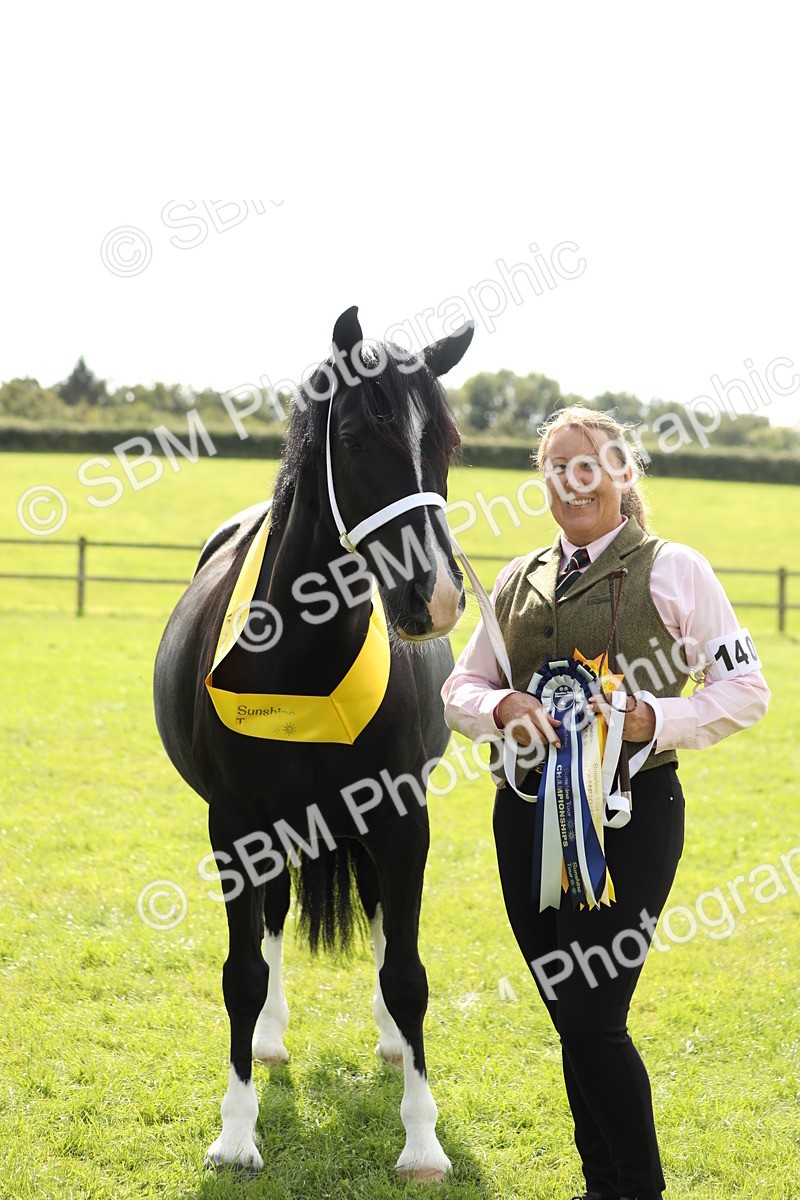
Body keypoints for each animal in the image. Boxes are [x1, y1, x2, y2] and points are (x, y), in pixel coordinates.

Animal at [153, 306, 474, 1180]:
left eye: (447, 443)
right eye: (359, 437)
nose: (435, 596)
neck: (301, 661)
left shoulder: (402, 818)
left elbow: (407, 972)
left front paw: (422, 1141)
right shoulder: (236, 826)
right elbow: (240, 972)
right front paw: (235, 1134)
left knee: (378, 918)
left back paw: (393, 1045)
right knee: (270, 924)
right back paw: (267, 1039)